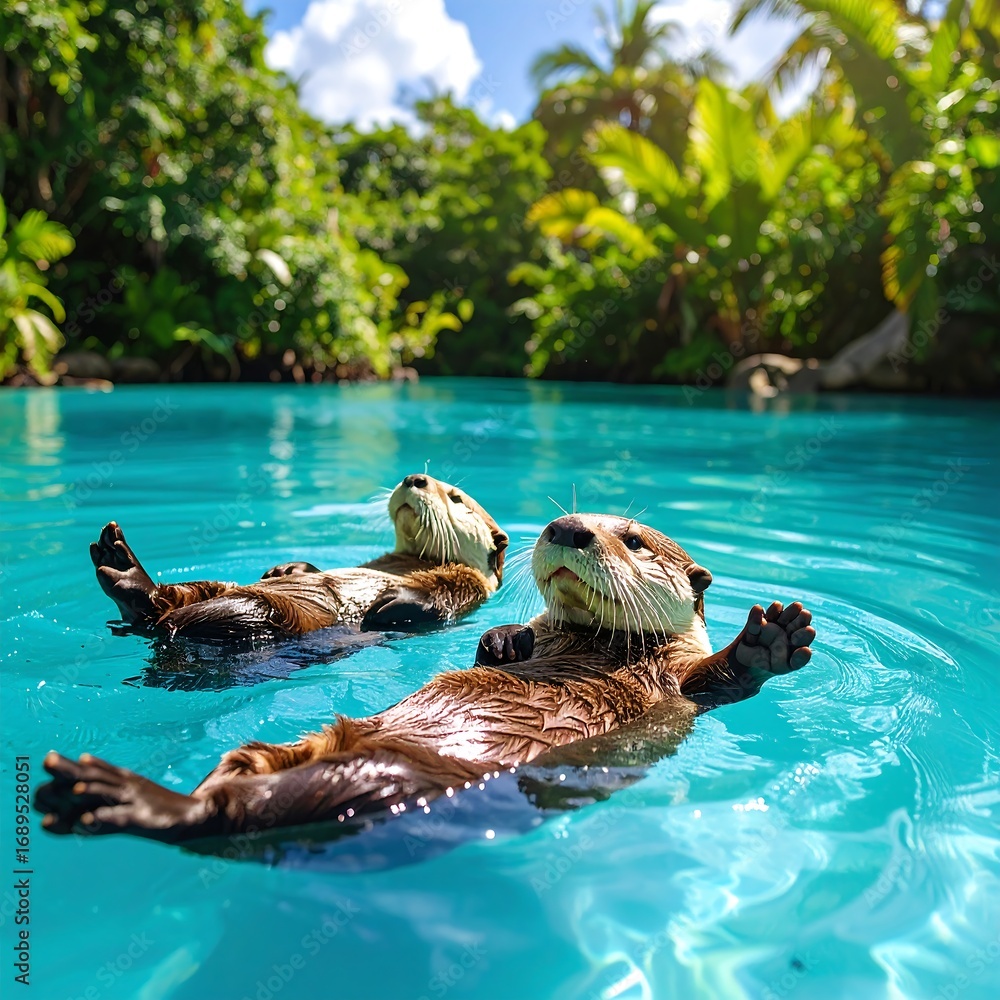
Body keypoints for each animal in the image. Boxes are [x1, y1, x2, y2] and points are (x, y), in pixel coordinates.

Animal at [36, 514, 815, 843]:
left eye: (632, 539)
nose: (567, 528)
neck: (597, 643)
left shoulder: (676, 686)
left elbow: (715, 682)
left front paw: (772, 636)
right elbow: (499, 650)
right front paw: (504, 639)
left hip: (389, 778)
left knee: (242, 814)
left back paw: (123, 798)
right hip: (271, 751)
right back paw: (124, 576)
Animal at [90, 474, 508, 640]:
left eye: (456, 498)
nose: (414, 479)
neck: (411, 562)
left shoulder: (465, 586)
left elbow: (437, 601)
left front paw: (388, 602)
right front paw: (286, 568)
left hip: (270, 616)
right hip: (212, 587)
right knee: (170, 598)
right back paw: (121, 565)